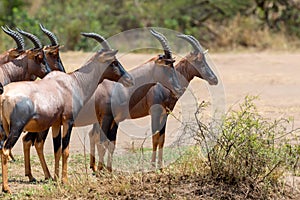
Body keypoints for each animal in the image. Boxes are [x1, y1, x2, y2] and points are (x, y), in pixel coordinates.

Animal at [0, 32, 134, 193]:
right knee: (6, 149)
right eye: (113, 62)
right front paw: (64, 180)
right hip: (17, 128)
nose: (129, 80)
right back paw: (7, 188)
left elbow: (57, 149)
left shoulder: (56, 124)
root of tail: (4, 95)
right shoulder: (68, 121)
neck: (72, 82)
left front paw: (56, 178)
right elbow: (66, 150)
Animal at [88, 33, 219, 171]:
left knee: (93, 134)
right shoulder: (155, 113)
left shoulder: (165, 114)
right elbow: (154, 139)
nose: (214, 79)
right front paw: (152, 167)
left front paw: (161, 167)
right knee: (96, 136)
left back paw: (93, 167)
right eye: (198, 60)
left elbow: (161, 139)